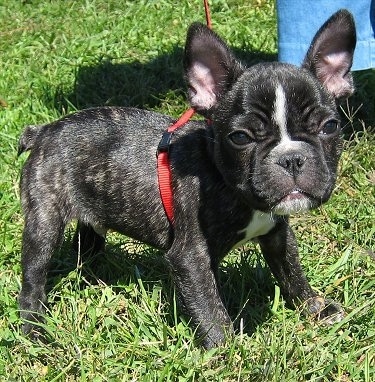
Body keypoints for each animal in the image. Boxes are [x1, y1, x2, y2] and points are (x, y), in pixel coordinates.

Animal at [18, 9, 358, 350]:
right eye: (240, 137)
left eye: (329, 127)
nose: (291, 158)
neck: (223, 178)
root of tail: (44, 131)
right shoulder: (191, 256)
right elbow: (209, 307)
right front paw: (228, 351)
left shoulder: (277, 234)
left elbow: (291, 271)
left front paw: (314, 306)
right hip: (44, 222)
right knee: (34, 274)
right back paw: (33, 328)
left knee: (86, 246)